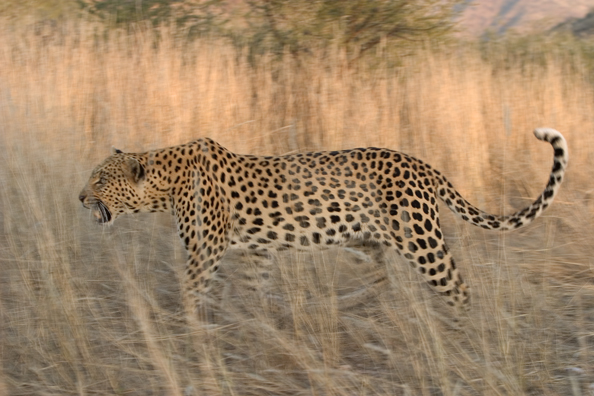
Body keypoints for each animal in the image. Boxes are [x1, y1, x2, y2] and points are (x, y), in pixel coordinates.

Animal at [77, 128, 564, 314]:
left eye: (99, 179)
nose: (80, 198)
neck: (165, 183)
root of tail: (422, 165)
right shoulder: (255, 251)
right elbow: (255, 288)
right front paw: (259, 325)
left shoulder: (205, 251)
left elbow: (191, 291)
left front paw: (186, 331)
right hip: (364, 242)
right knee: (381, 281)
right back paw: (351, 307)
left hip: (420, 240)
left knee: (458, 288)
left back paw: (462, 332)